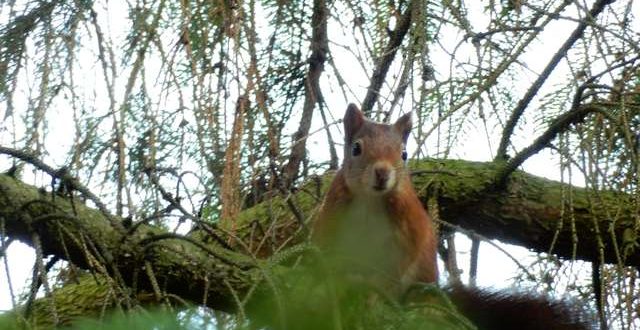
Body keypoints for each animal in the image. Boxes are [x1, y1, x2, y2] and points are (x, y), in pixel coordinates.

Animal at [310, 104, 592, 330]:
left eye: (404, 154)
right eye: (356, 148)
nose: (382, 173)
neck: (371, 200)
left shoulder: (407, 227)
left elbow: (398, 264)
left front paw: (374, 297)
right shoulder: (332, 219)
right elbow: (329, 257)